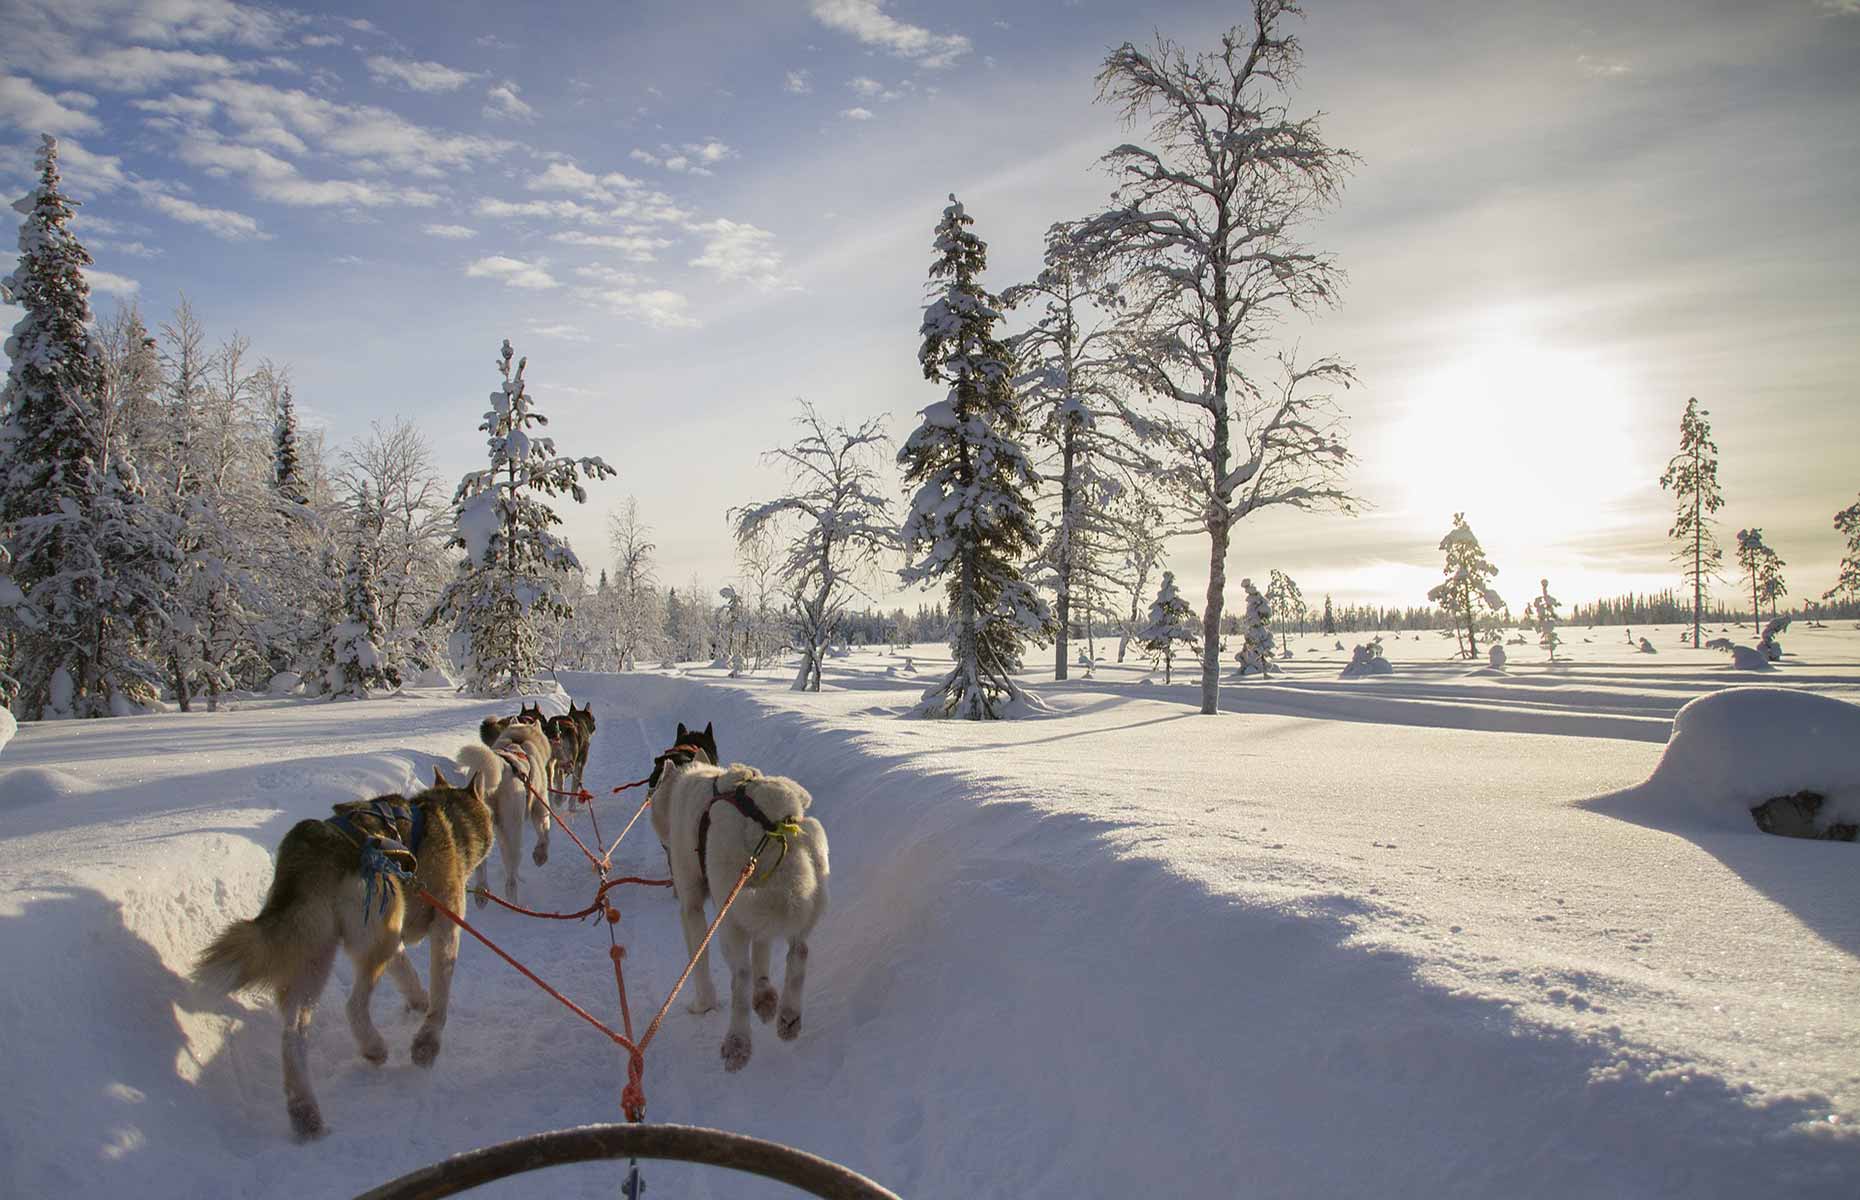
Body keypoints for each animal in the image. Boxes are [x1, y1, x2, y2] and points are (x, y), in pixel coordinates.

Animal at [194, 755, 502, 1138]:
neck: (445, 819)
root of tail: (315, 848)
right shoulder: (445, 925)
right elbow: (440, 994)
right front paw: (427, 1043)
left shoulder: (396, 941)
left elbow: (409, 976)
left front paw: (417, 1002)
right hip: (376, 937)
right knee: (353, 1006)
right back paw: (373, 1048)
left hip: (318, 957)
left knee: (293, 1033)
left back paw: (305, 1112)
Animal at [472, 714, 550, 904]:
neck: (519, 740)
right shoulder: (540, 805)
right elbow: (544, 834)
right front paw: (540, 855)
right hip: (512, 831)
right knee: (511, 876)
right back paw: (513, 901)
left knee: (481, 867)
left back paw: (481, 892)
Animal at [654, 744, 829, 1071]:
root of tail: (775, 824)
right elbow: (762, 951)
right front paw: (765, 996)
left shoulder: (691, 906)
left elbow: (700, 961)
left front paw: (703, 1004)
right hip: (802, 893)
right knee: (798, 952)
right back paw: (787, 1015)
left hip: (729, 916)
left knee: (741, 976)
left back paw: (738, 1042)